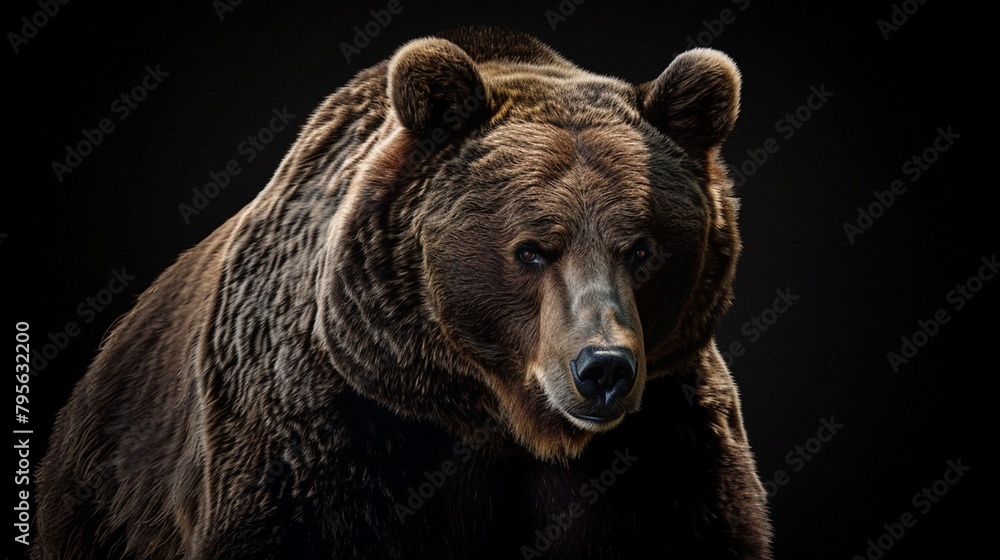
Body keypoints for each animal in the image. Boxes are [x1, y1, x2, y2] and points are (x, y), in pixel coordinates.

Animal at [35, 26, 772, 559]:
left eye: (641, 249)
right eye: (533, 249)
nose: (604, 369)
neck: (498, 421)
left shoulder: (666, 437)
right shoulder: (330, 428)